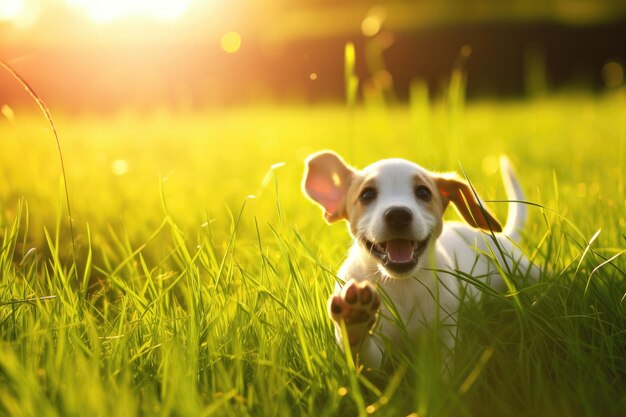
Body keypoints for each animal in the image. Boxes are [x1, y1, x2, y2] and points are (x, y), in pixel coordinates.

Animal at [302, 150, 536, 368]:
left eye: (423, 192)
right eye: (367, 195)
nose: (398, 214)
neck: (402, 285)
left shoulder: (444, 334)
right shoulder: (376, 358)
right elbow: (361, 352)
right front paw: (354, 318)